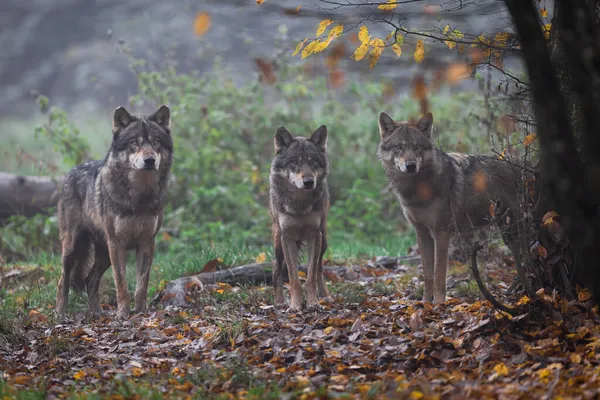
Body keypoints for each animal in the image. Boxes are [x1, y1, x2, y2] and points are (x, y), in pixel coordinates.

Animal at [54, 105, 173, 318]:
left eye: (156, 141)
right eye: (134, 142)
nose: (150, 160)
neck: (139, 198)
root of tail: (70, 173)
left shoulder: (147, 242)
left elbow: (141, 284)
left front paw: (141, 312)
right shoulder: (117, 244)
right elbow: (121, 283)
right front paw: (123, 314)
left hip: (103, 254)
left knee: (90, 280)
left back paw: (97, 314)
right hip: (74, 247)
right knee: (63, 280)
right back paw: (60, 313)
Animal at [270, 125, 330, 312]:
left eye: (313, 162)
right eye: (294, 162)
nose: (309, 181)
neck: (299, 205)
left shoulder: (314, 236)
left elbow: (311, 276)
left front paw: (312, 303)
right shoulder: (287, 237)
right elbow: (293, 277)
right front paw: (295, 305)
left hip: (324, 241)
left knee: (320, 269)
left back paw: (325, 296)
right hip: (278, 244)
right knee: (276, 271)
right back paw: (279, 302)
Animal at [378, 111, 540, 304]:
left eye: (417, 147)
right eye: (399, 147)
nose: (410, 166)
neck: (418, 189)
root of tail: (533, 168)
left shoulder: (441, 232)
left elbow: (439, 273)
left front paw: (438, 304)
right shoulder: (422, 233)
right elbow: (428, 274)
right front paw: (425, 303)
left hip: (519, 228)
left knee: (529, 256)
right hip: (508, 231)